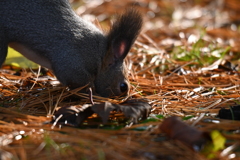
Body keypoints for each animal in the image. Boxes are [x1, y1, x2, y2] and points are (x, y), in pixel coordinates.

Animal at [0, 0, 142, 97]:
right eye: (123, 86)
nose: (126, 96)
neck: (100, 55)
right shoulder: (72, 59)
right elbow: (78, 79)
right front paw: (91, 92)